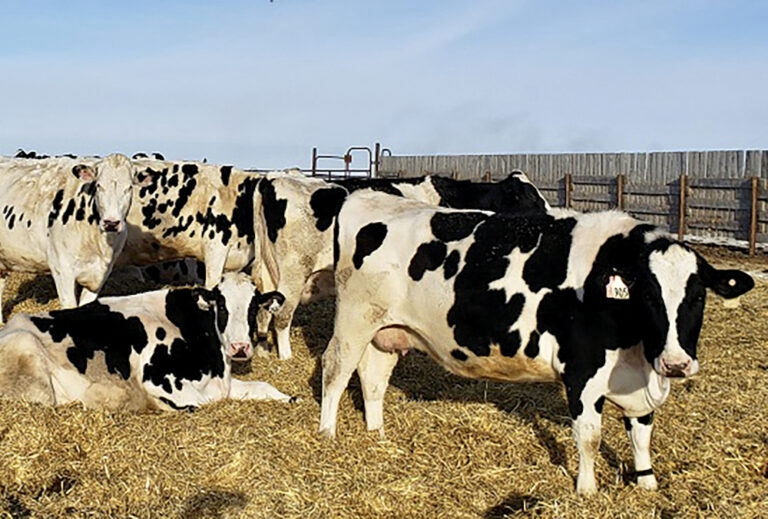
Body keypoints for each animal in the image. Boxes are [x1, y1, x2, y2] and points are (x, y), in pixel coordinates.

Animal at [0, 272, 296, 410]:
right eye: (221, 306)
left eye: (253, 306)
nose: (240, 348)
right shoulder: (160, 381)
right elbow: (201, 401)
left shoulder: (222, 381)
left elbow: (264, 386)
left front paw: (290, 397)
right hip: (27, 348)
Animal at [318, 191, 754, 494]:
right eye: (648, 295)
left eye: (698, 296)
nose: (678, 364)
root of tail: (368, 197)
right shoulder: (582, 371)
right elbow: (589, 435)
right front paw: (587, 490)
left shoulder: (642, 378)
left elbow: (642, 432)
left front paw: (647, 484)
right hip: (354, 319)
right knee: (335, 370)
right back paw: (328, 435)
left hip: (387, 330)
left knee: (373, 378)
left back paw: (377, 434)